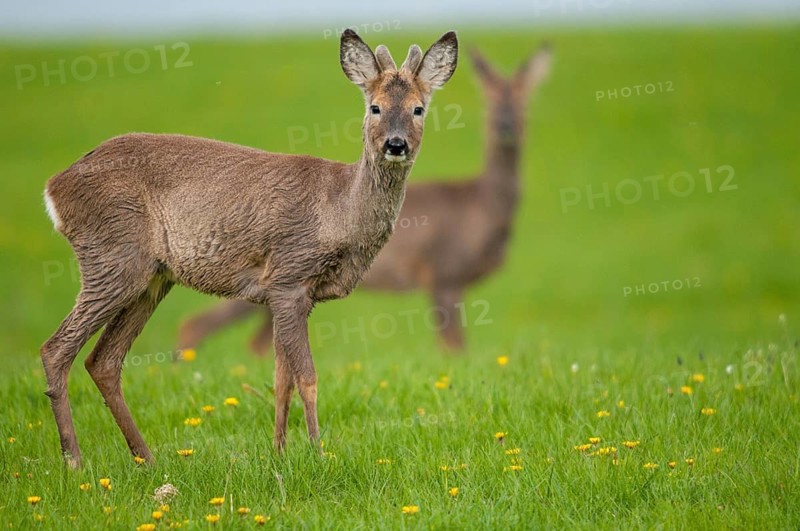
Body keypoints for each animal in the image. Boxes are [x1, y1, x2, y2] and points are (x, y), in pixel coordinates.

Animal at [40, 29, 458, 468]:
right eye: (375, 107)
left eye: (418, 109)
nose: (395, 145)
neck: (338, 210)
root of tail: (53, 188)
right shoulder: (289, 275)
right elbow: (307, 376)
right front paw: (318, 453)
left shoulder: (292, 293)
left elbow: (281, 378)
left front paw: (279, 453)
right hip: (112, 257)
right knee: (56, 349)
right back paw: (74, 461)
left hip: (151, 278)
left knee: (103, 360)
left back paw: (147, 459)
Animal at [176, 43, 552, 355]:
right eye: (490, 101)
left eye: (526, 103)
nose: (506, 126)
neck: (482, 206)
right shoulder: (444, 271)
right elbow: (455, 347)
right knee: (196, 325)